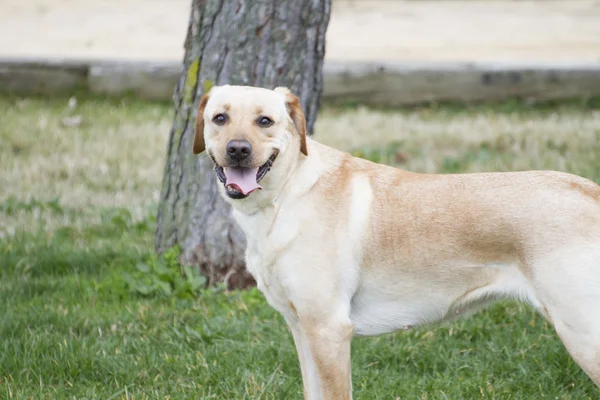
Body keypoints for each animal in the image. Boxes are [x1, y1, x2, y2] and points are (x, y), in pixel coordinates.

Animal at [192, 84, 600, 396]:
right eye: (220, 118)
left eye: (265, 121)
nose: (238, 149)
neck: (285, 195)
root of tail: (589, 190)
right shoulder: (303, 330)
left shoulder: (329, 331)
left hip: (583, 333)